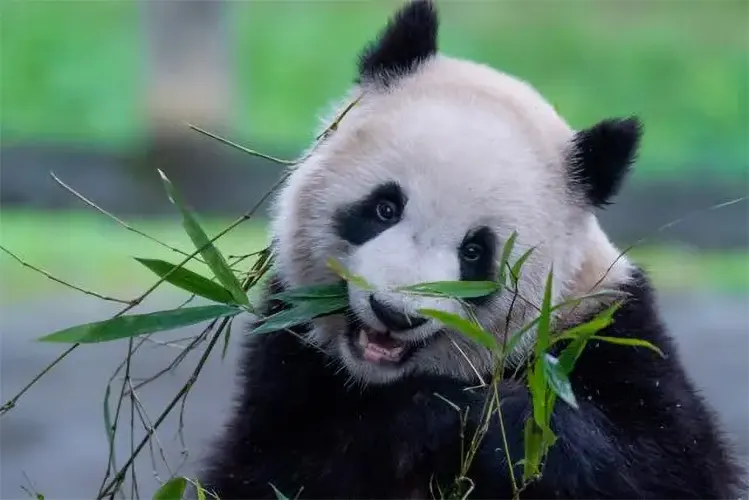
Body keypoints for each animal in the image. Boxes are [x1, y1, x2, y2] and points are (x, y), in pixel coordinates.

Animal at [197, 1, 744, 498]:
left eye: (476, 252)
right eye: (384, 208)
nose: (394, 313)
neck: (377, 378)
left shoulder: (605, 329)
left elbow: (664, 465)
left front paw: (467, 419)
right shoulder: (288, 354)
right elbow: (272, 467)